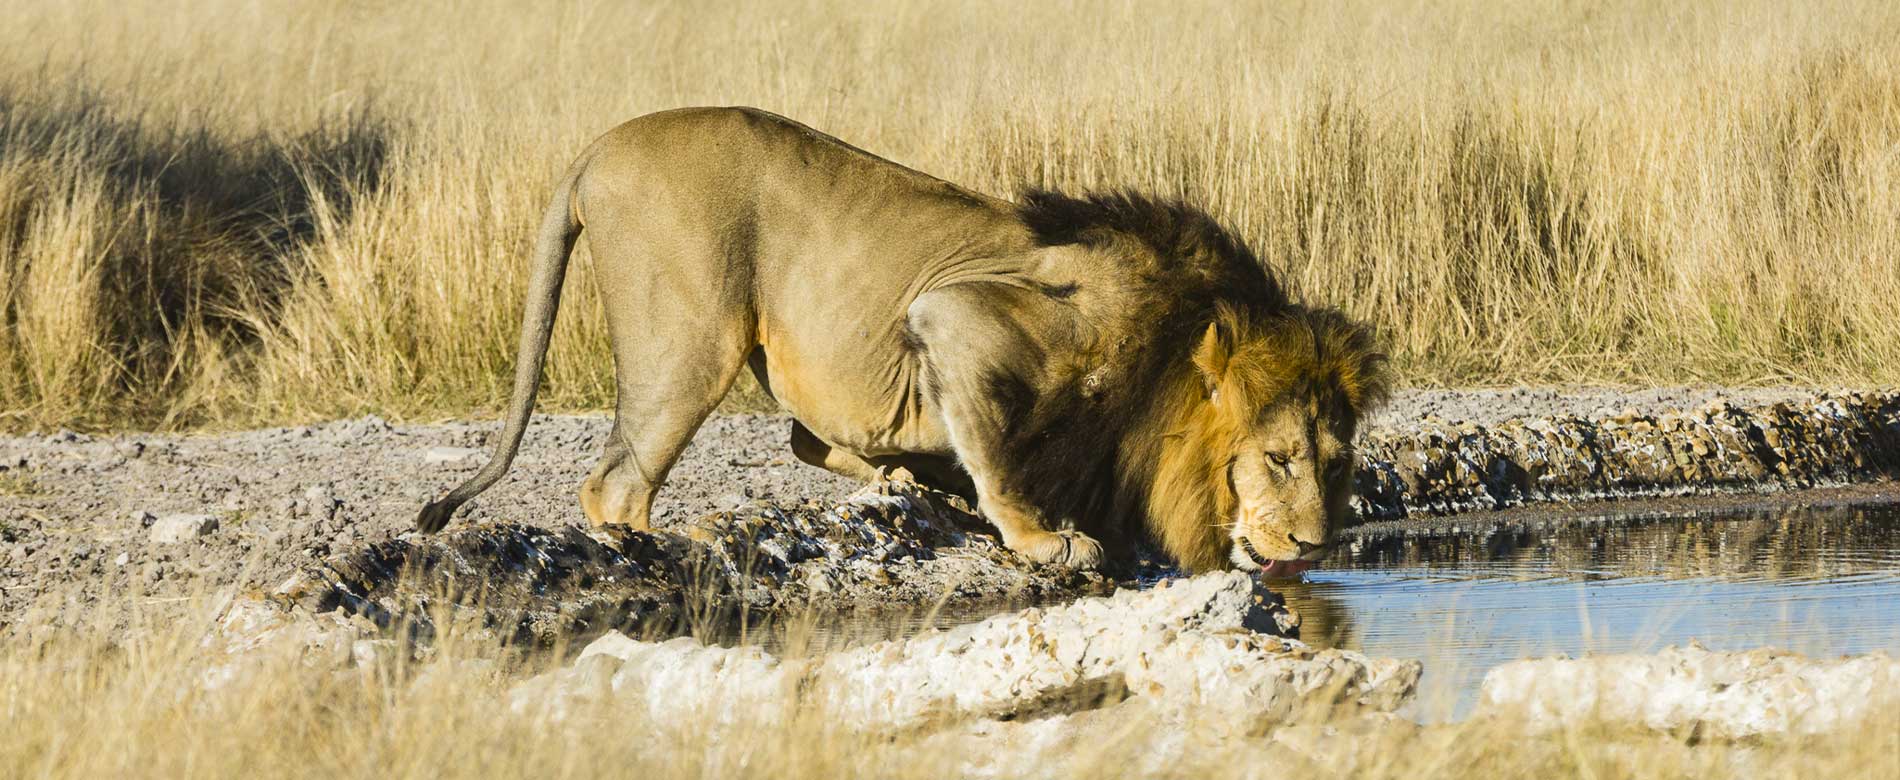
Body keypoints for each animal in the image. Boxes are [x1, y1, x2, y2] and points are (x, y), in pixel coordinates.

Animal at [418, 106, 1389, 574]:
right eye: (1277, 459)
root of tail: (599, 147)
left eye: (1337, 463)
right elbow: (1001, 460)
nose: (1316, 549)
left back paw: (893, 478)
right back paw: (665, 548)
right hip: (691, 341)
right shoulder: (956, 315)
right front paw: (1046, 540)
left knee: (803, 436)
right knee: (615, 483)